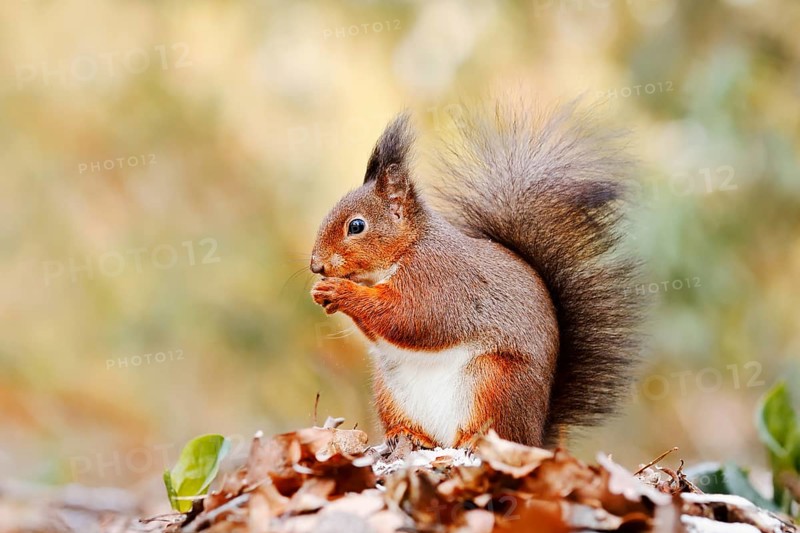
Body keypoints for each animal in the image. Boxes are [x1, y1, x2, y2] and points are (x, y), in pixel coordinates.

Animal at [310, 101, 642, 449]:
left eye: (356, 226)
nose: (316, 265)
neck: (407, 248)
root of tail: (535, 435)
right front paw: (323, 292)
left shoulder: (438, 278)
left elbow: (411, 317)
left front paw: (340, 291)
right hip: (390, 390)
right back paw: (409, 433)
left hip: (493, 380)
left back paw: (472, 440)